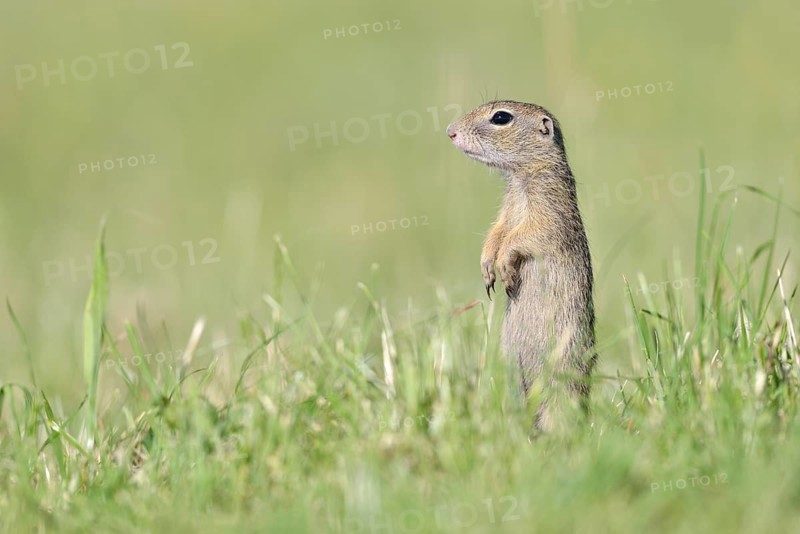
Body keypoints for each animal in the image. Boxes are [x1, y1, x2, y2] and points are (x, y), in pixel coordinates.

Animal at [447, 100, 596, 431]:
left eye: (501, 117)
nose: (450, 131)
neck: (521, 177)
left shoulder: (549, 210)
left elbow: (526, 235)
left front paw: (504, 265)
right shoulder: (506, 210)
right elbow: (498, 230)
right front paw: (488, 265)